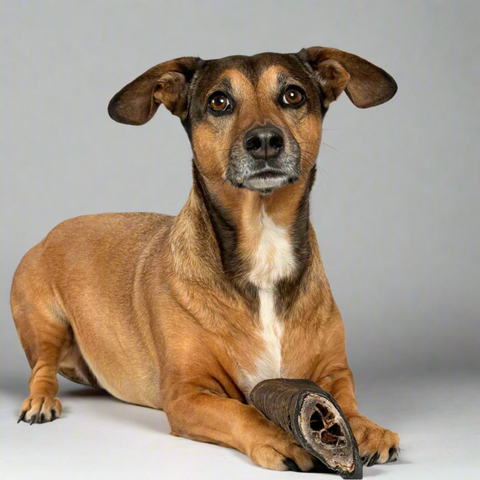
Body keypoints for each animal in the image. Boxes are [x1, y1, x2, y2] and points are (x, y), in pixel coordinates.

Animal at [12, 46, 402, 472]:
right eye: (219, 102)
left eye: (293, 95)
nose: (265, 140)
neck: (263, 242)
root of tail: (50, 234)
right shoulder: (188, 393)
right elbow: (241, 412)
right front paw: (279, 437)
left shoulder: (334, 372)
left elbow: (346, 403)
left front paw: (366, 427)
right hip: (45, 323)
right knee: (42, 369)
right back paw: (41, 401)